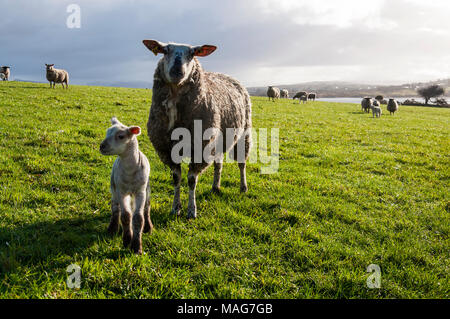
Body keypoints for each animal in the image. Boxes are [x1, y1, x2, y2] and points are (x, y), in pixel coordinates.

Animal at [100, 117, 153, 255]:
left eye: (121, 136)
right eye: (107, 132)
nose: (101, 146)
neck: (130, 171)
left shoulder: (140, 191)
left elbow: (138, 218)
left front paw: (136, 247)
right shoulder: (121, 191)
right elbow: (126, 216)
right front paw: (127, 239)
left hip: (147, 188)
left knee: (146, 207)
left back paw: (148, 227)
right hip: (114, 186)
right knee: (115, 207)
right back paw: (112, 228)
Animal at [142, 39, 251, 220]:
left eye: (192, 54)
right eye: (165, 51)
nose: (177, 71)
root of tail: (228, 76)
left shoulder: (201, 148)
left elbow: (192, 179)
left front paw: (191, 210)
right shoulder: (167, 149)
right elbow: (176, 178)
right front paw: (175, 208)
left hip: (244, 134)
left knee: (242, 163)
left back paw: (243, 187)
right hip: (218, 139)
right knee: (218, 164)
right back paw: (215, 187)